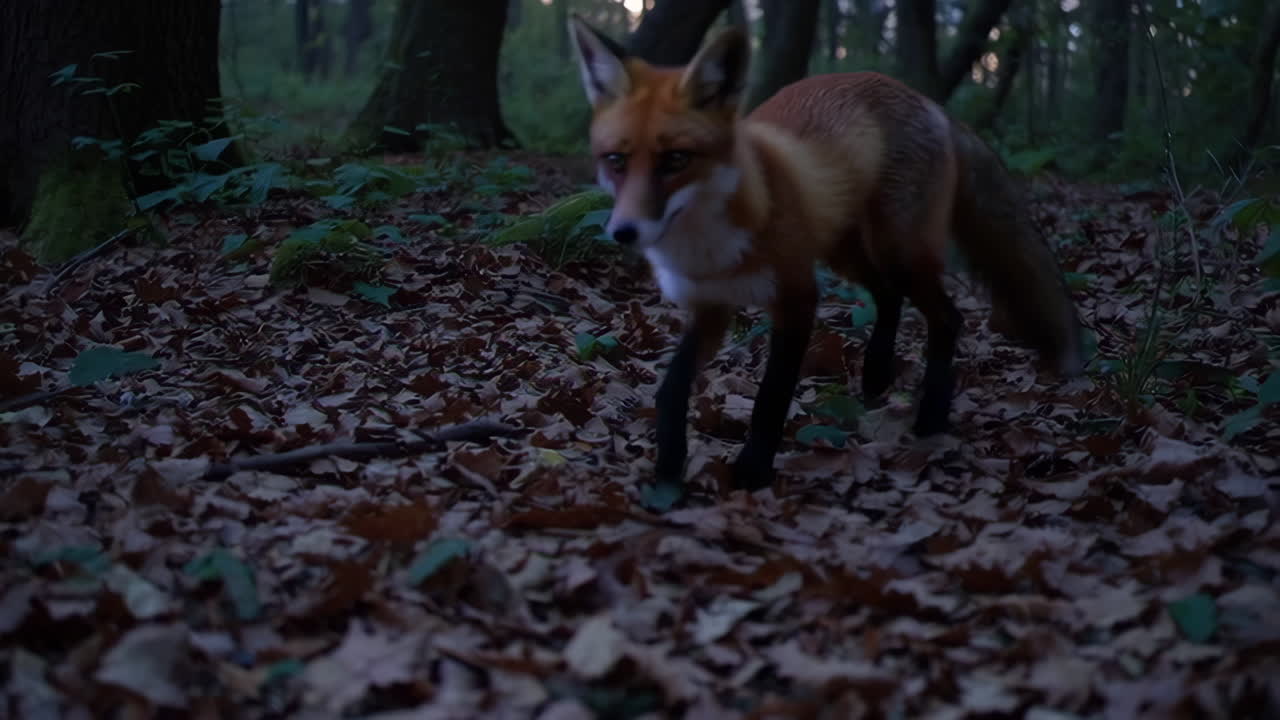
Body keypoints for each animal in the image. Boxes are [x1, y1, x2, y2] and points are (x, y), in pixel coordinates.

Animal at [566, 15, 1085, 495]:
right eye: (615, 161)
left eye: (675, 160)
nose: (624, 232)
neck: (710, 245)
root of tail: (926, 100)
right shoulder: (710, 306)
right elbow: (671, 388)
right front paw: (669, 465)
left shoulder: (797, 298)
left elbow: (771, 397)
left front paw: (752, 471)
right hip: (845, 252)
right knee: (889, 297)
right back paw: (875, 374)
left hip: (898, 251)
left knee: (947, 317)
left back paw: (931, 418)